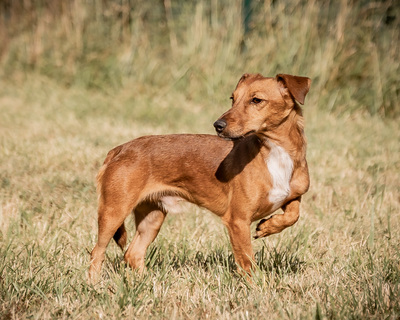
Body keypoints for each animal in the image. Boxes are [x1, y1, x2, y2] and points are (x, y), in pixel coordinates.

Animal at [89, 73, 310, 282]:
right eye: (233, 98)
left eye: (256, 100)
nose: (218, 125)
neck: (275, 151)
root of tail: (119, 149)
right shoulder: (238, 221)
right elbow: (247, 263)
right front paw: (255, 287)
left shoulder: (293, 195)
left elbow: (293, 215)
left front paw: (268, 227)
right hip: (114, 211)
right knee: (97, 252)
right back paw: (94, 285)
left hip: (153, 216)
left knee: (132, 254)